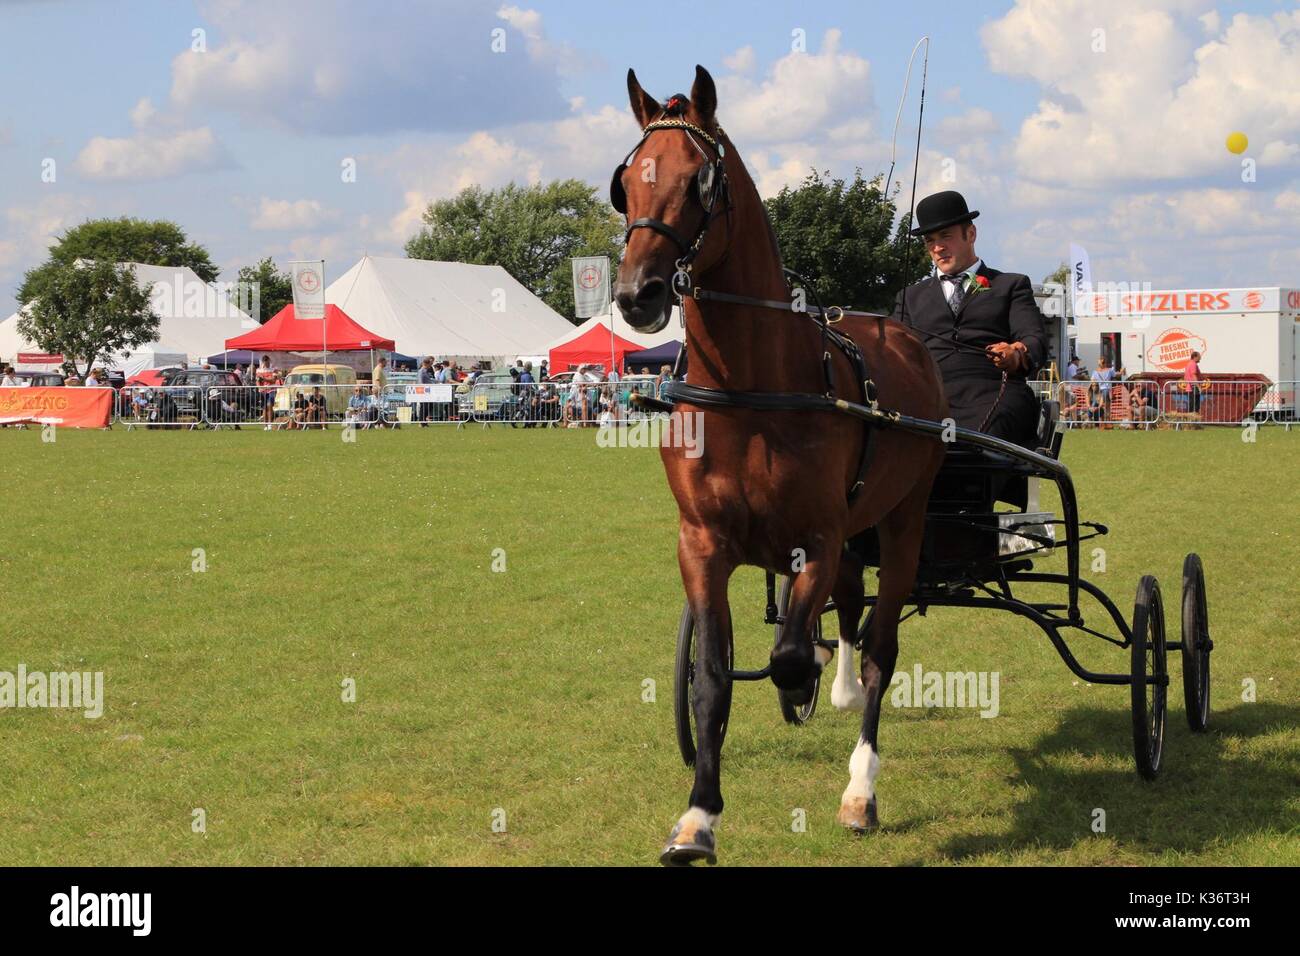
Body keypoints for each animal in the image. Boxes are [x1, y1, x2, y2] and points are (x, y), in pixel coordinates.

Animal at [613, 63, 951, 863]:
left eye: (700, 180)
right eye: (626, 182)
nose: (637, 294)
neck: (749, 389)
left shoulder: (817, 538)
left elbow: (797, 649)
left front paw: (799, 687)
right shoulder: (701, 543)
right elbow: (711, 678)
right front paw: (697, 818)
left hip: (904, 520)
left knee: (879, 644)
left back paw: (860, 785)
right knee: (853, 607)